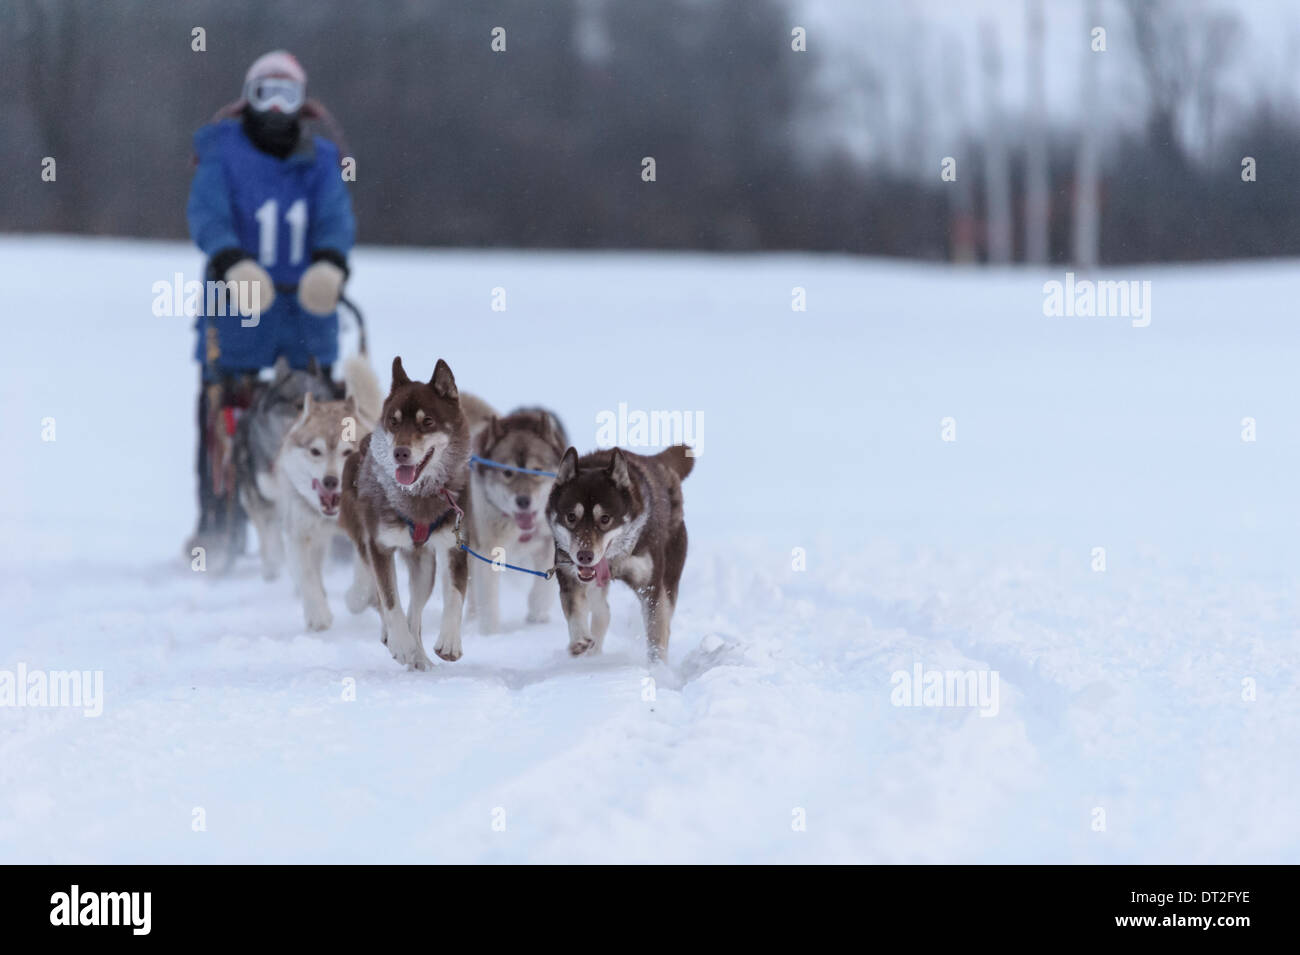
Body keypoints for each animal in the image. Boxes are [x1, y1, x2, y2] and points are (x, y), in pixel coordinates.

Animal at [271, 356, 379, 631]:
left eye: (346, 451)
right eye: (315, 451)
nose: (330, 481)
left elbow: (364, 575)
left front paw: (356, 599)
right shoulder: (299, 534)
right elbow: (307, 576)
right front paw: (317, 615)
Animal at [340, 361, 491, 670]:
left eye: (428, 421)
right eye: (394, 421)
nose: (400, 453)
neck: (420, 497)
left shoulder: (455, 544)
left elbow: (455, 594)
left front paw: (449, 642)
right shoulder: (379, 547)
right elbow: (389, 600)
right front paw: (399, 642)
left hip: (424, 565)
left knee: (416, 612)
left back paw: (418, 657)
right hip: (365, 543)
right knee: (384, 599)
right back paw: (397, 641)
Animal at [467, 407, 569, 631]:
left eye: (536, 470)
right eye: (507, 473)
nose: (523, 501)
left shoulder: (549, 542)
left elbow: (543, 586)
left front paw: (537, 613)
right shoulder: (487, 549)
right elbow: (488, 598)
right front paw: (490, 633)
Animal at [546, 446, 696, 657]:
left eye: (605, 518)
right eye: (571, 517)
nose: (585, 556)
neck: (613, 559)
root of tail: (658, 462)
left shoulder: (651, 587)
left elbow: (656, 634)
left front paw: (658, 666)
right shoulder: (569, 575)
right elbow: (574, 608)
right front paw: (579, 641)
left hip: (670, 574)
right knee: (603, 611)